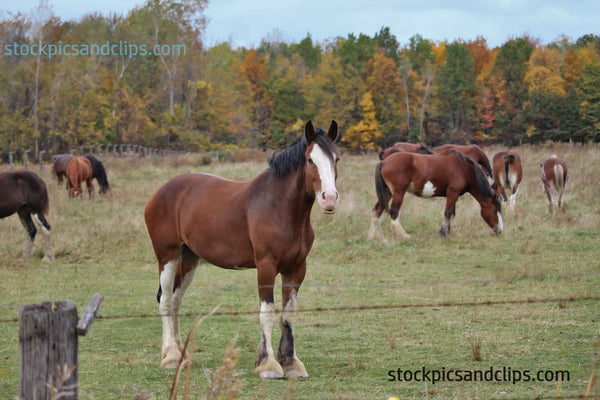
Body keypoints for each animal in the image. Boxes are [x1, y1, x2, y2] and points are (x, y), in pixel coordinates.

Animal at [368, 148, 504, 239]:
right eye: (494, 211)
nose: (500, 230)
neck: (463, 168)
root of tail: (384, 162)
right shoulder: (453, 193)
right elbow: (448, 212)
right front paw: (443, 232)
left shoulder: (453, 195)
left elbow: (452, 213)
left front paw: (453, 232)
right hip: (398, 193)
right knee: (394, 211)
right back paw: (403, 235)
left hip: (387, 193)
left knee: (377, 210)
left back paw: (375, 236)